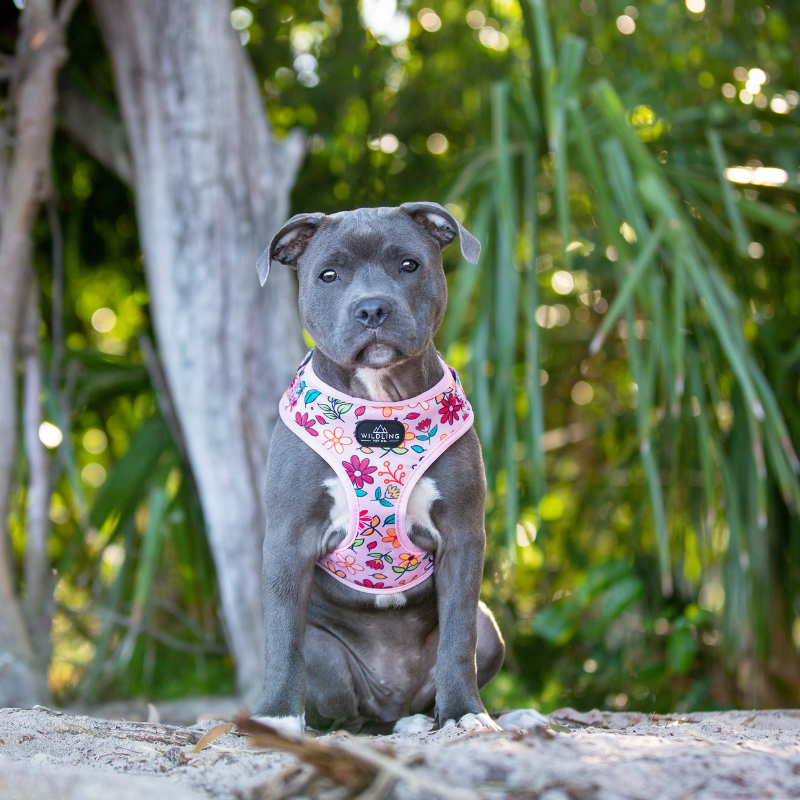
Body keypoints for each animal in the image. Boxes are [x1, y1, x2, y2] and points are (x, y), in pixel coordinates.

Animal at [250, 203, 504, 736]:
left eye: (408, 265)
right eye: (328, 275)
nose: (371, 310)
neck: (381, 403)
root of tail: (393, 696)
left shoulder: (464, 534)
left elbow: (459, 639)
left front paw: (464, 713)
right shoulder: (287, 537)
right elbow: (282, 639)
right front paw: (277, 716)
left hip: (491, 628)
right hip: (326, 657)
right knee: (348, 716)